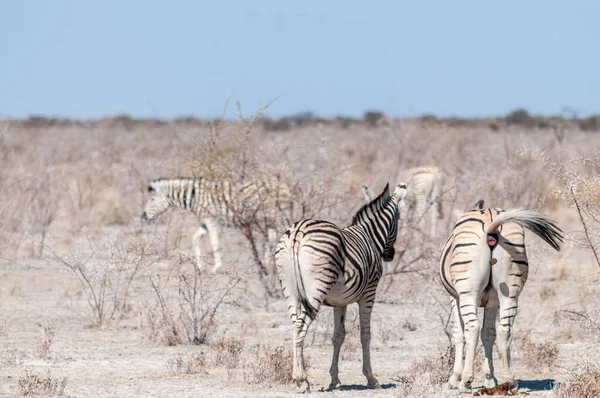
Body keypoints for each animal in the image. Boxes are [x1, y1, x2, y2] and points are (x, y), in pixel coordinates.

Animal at [144, 177, 298, 274]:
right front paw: (200, 268)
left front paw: (216, 268)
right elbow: (195, 239)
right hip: (270, 219)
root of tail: (288, 186)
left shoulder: (211, 220)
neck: (194, 196)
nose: (143, 216)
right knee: (271, 238)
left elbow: (214, 243)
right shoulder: (205, 222)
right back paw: (267, 265)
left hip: (276, 216)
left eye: (152, 199)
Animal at [274, 183, 406, 392]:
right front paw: (371, 378)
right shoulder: (369, 294)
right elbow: (365, 334)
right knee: (302, 326)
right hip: (316, 289)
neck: (370, 237)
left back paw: (297, 379)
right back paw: (302, 381)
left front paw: (334, 380)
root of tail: (297, 232)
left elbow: (338, 336)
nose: (390, 255)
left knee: (295, 325)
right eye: (398, 218)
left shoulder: (340, 301)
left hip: (289, 288)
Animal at [440, 201, 564, 390]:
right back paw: (509, 380)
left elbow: (458, 334)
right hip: (510, 292)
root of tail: (492, 223)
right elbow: (488, 334)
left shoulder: (455, 298)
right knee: (504, 330)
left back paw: (466, 380)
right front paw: (490, 379)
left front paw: (455, 378)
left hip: (469, 292)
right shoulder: (492, 302)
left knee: (472, 328)